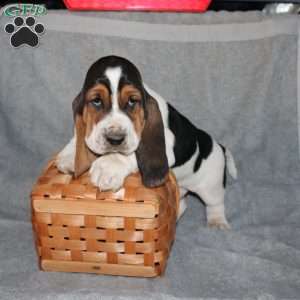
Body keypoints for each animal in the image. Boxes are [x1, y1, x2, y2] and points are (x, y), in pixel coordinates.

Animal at [56, 55, 237, 230]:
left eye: (132, 101)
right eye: (96, 101)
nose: (115, 139)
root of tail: (218, 146)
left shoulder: (167, 147)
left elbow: (132, 153)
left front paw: (108, 166)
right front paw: (71, 156)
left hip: (211, 186)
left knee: (216, 204)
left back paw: (217, 222)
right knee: (183, 204)